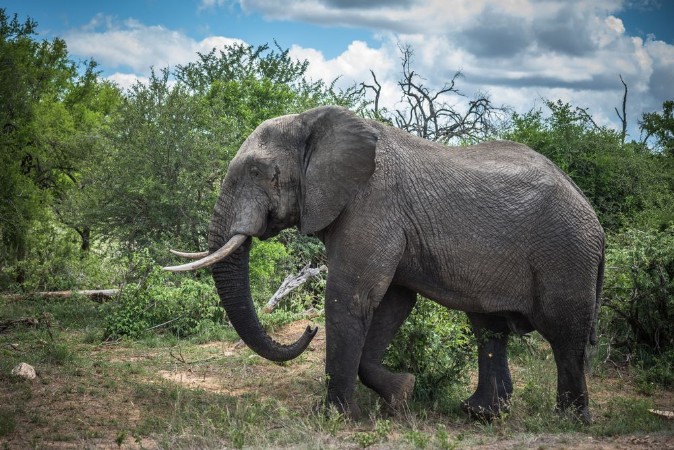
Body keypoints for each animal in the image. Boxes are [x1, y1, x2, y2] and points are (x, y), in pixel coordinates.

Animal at [165, 105, 605, 423]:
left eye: (257, 171)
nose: (306, 329)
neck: (314, 122)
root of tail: (593, 216)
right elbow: (394, 302)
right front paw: (402, 394)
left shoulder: (373, 206)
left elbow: (350, 296)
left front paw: (334, 418)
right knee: (488, 328)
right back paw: (479, 414)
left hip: (566, 253)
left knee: (564, 334)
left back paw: (568, 421)